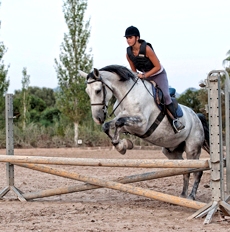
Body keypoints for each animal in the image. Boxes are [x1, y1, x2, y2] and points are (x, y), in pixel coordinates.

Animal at [78, 64, 209, 200]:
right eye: (87, 91)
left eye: (98, 90)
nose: (97, 118)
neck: (127, 96)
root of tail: (197, 117)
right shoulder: (128, 125)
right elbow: (109, 125)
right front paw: (122, 145)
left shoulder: (142, 125)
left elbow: (119, 122)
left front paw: (121, 145)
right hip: (172, 152)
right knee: (185, 169)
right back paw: (183, 195)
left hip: (192, 149)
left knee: (197, 171)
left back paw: (191, 196)